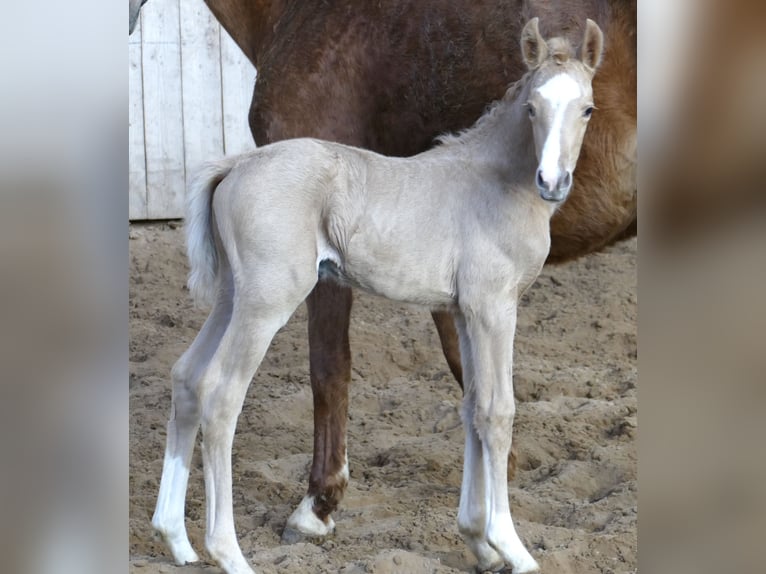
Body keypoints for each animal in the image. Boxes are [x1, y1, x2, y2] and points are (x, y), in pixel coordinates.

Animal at [130, 0, 636, 548]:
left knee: (191, 379)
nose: (553, 182)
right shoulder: (483, 305)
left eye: (588, 109)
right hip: (259, 297)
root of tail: (235, 166)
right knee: (214, 391)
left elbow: (468, 396)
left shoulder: (473, 306)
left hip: (241, 295)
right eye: (531, 109)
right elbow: (469, 397)